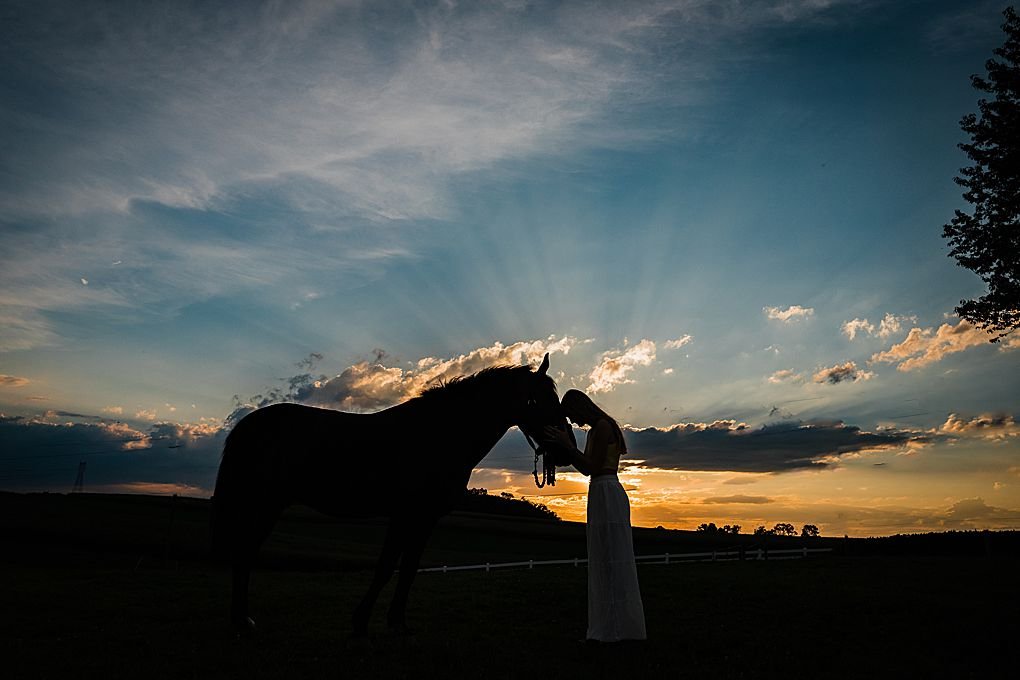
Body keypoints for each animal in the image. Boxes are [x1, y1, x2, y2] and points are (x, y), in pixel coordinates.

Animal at [211, 354, 571, 636]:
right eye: (538, 400)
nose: (564, 450)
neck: (440, 435)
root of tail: (249, 425)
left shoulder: (425, 519)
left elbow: (408, 568)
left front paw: (396, 622)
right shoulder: (404, 515)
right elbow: (386, 567)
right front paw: (361, 621)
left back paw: (241, 619)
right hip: (263, 504)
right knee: (244, 553)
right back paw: (242, 621)